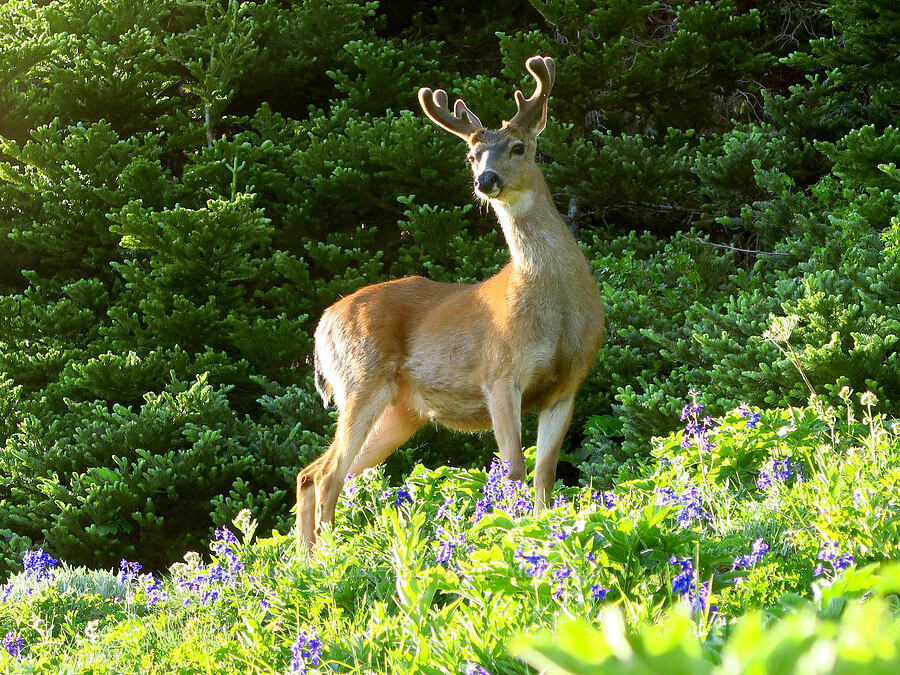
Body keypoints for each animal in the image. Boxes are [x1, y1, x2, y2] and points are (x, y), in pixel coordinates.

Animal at [296, 54, 604, 548]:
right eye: (471, 155)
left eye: (519, 147)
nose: (486, 180)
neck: (554, 304)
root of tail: (322, 323)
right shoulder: (499, 373)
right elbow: (515, 471)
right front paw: (514, 532)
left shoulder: (567, 386)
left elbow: (545, 475)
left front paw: (544, 531)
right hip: (361, 381)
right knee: (328, 474)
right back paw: (329, 558)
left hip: (402, 410)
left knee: (315, 473)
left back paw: (306, 558)